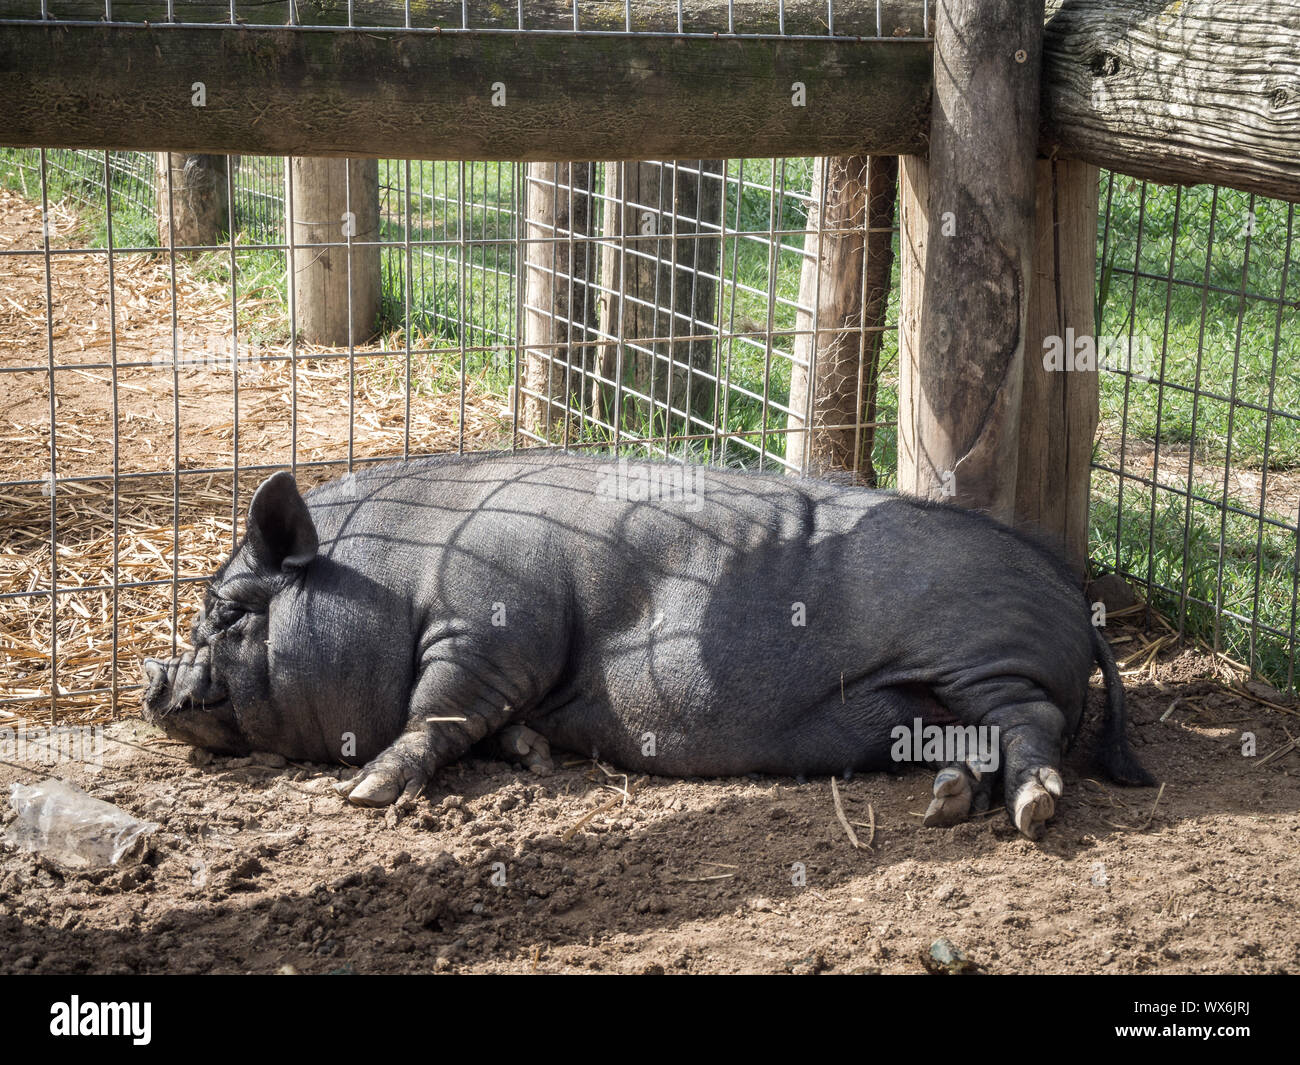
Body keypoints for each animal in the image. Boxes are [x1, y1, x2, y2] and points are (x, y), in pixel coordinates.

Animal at [142, 451, 1153, 838]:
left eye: (226, 609)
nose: (155, 682)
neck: (393, 580)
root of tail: (1077, 599)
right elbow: (490, 726)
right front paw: (535, 755)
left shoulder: (491, 628)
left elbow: (438, 712)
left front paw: (364, 793)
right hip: (939, 696)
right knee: (970, 745)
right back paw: (945, 804)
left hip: (990, 656)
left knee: (1029, 724)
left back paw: (1031, 811)